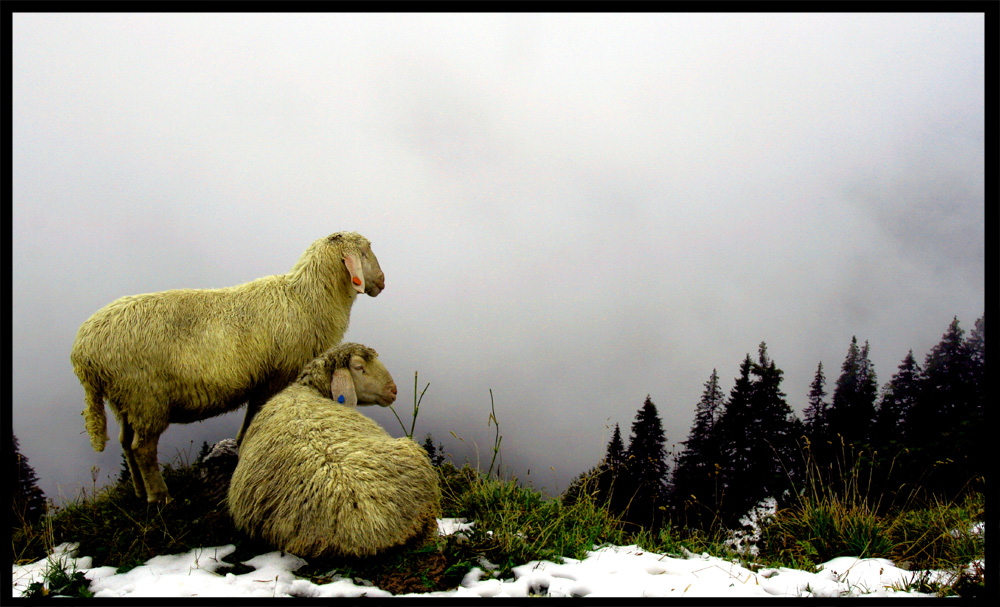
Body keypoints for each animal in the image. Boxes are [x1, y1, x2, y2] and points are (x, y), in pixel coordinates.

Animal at [72, 233, 384, 504]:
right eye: (366, 252)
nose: (382, 281)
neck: (306, 300)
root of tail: (83, 352)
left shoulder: (264, 380)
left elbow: (252, 415)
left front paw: (241, 444)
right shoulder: (278, 375)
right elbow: (258, 414)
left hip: (124, 400)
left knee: (125, 443)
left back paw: (139, 491)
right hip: (146, 397)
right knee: (142, 449)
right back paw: (160, 497)